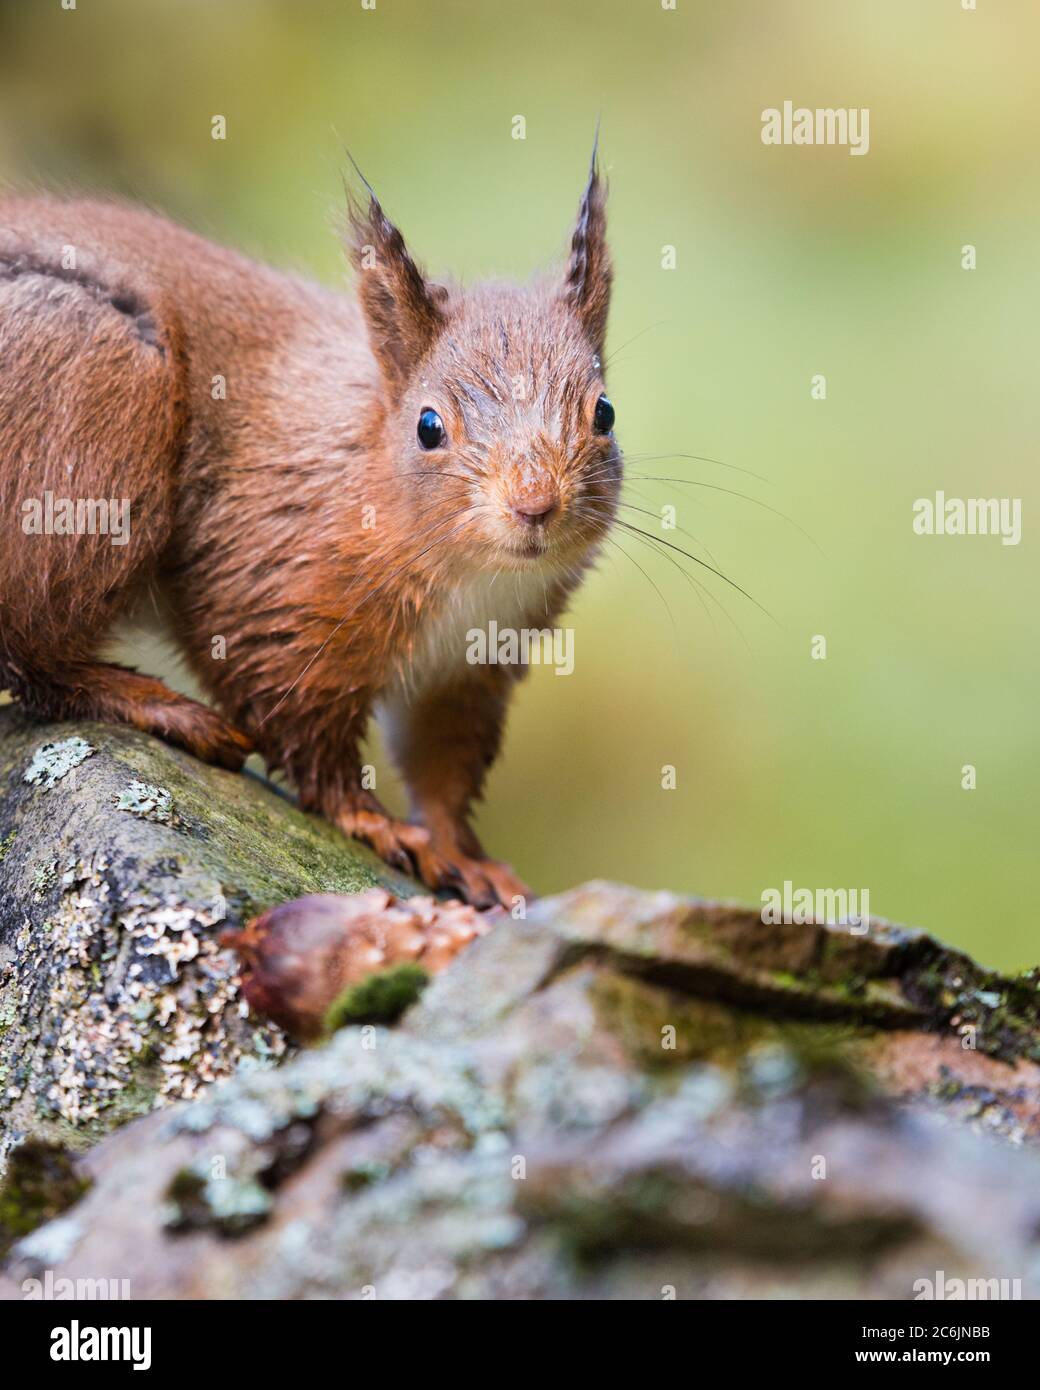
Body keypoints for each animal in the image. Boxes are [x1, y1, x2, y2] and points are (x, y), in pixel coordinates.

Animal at [0, 157, 617, 906]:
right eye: (428, 426)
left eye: (605, 413)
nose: (535, 504)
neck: (470, 578)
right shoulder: (268, 572)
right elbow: (295, 717)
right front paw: (372, 821)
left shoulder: (468, 667)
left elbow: (442, 762)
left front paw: (464, 857)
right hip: (92, 399)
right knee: (32, 650)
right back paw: (157, 706)